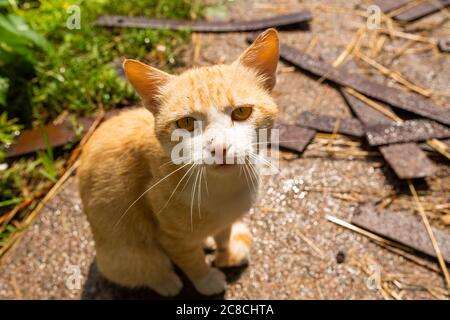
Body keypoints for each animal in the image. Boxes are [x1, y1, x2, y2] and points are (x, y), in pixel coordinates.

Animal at [78, 28, 282, 296]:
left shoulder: (225, 220)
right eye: (186, 123)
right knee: (147, 266)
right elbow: (191, 259)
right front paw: (206, 280)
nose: (219, 147)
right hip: (126, 255)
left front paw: (226, 252)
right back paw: (167, 282)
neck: (224, 190)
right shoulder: (171, 238)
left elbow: (224, 234)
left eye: (241, 112)